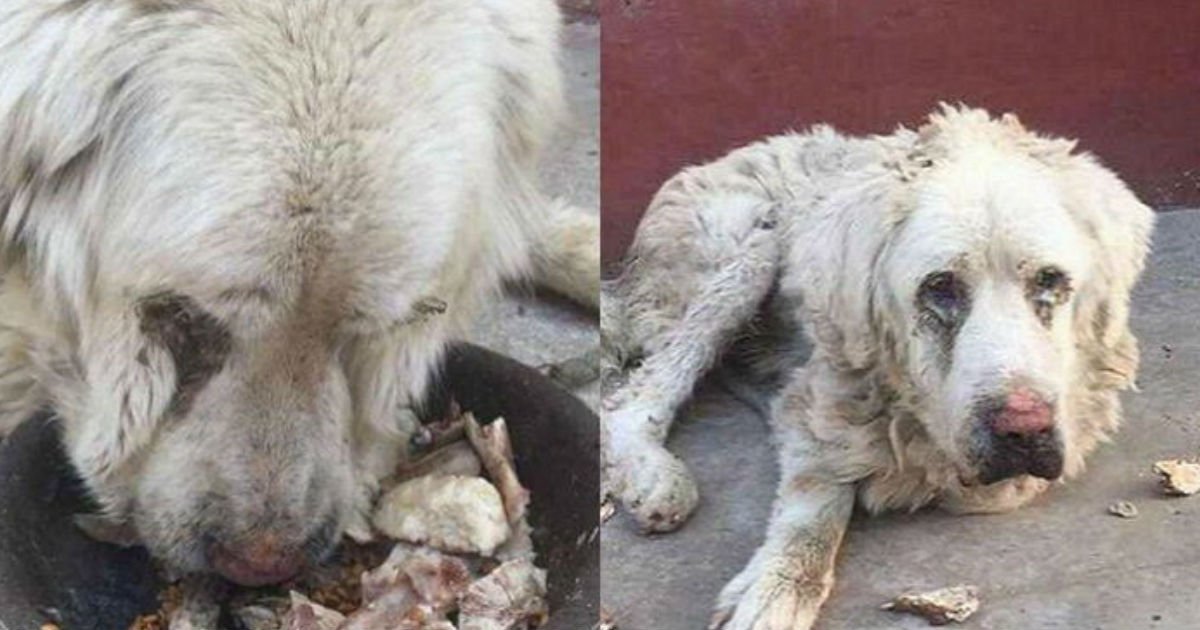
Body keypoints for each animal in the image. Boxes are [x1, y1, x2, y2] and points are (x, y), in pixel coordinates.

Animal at [604, 105, 1156, 624]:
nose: (1022, 430)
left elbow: (992, 488)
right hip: (749, 253)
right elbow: (816, 506)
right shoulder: (828, 404)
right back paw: (655, 478)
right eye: (941, 286)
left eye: (1049, 279)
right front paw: (774, 590)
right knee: (635, 398)